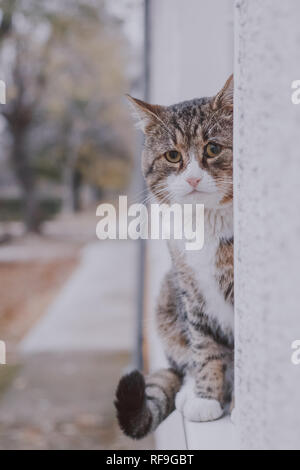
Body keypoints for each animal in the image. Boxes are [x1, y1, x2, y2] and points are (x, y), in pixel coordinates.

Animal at [115, 75, 234, 438]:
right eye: (172, 156)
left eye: (213, 148)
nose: (193, 177)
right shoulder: (191, 289)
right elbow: (204, 345)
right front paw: (206, 397)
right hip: (167, 295)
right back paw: (189, 391)